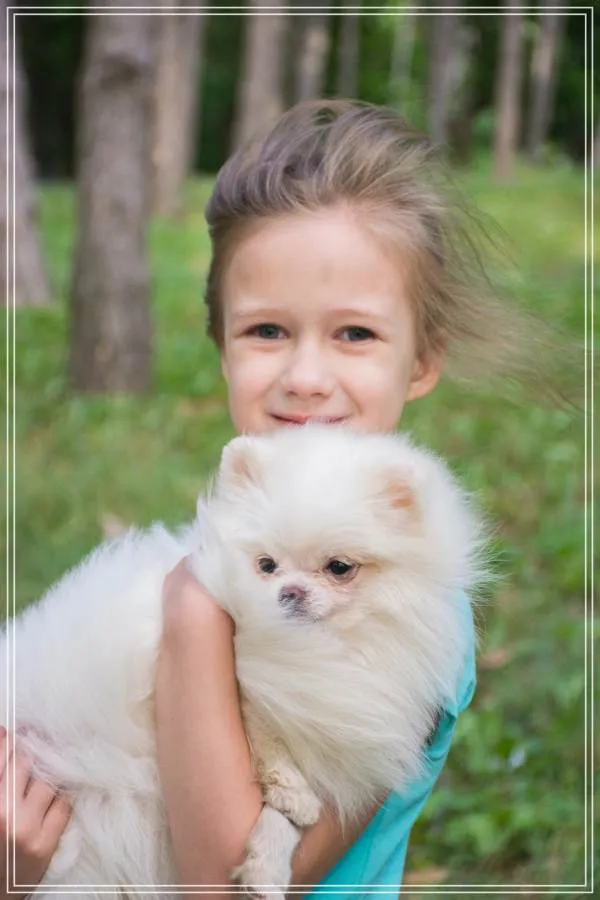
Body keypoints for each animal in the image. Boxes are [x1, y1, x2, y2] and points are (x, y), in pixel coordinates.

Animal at [1, 426, 484, 899]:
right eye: (266, 565)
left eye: (339, 567)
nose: (289, 592)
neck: (324, 651)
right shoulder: (243, 680)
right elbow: (263, 733)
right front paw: (294, 794)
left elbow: (279, 814)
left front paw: (267, 865)